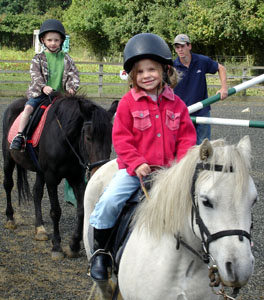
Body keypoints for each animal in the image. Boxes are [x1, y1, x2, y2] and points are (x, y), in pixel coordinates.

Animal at [2, 95, 117, 258]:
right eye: (88, 138)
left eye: (110, 138)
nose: (99, 172)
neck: (64, 140)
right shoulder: (51, 178)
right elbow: (55, 211)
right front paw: (56, 246)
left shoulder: (76, 177)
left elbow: (81, 210)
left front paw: (73, 245)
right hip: (8, 159)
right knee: (8, 184)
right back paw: (10, 218)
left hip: (40, 171)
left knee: (37, 192)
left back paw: (40, 228)